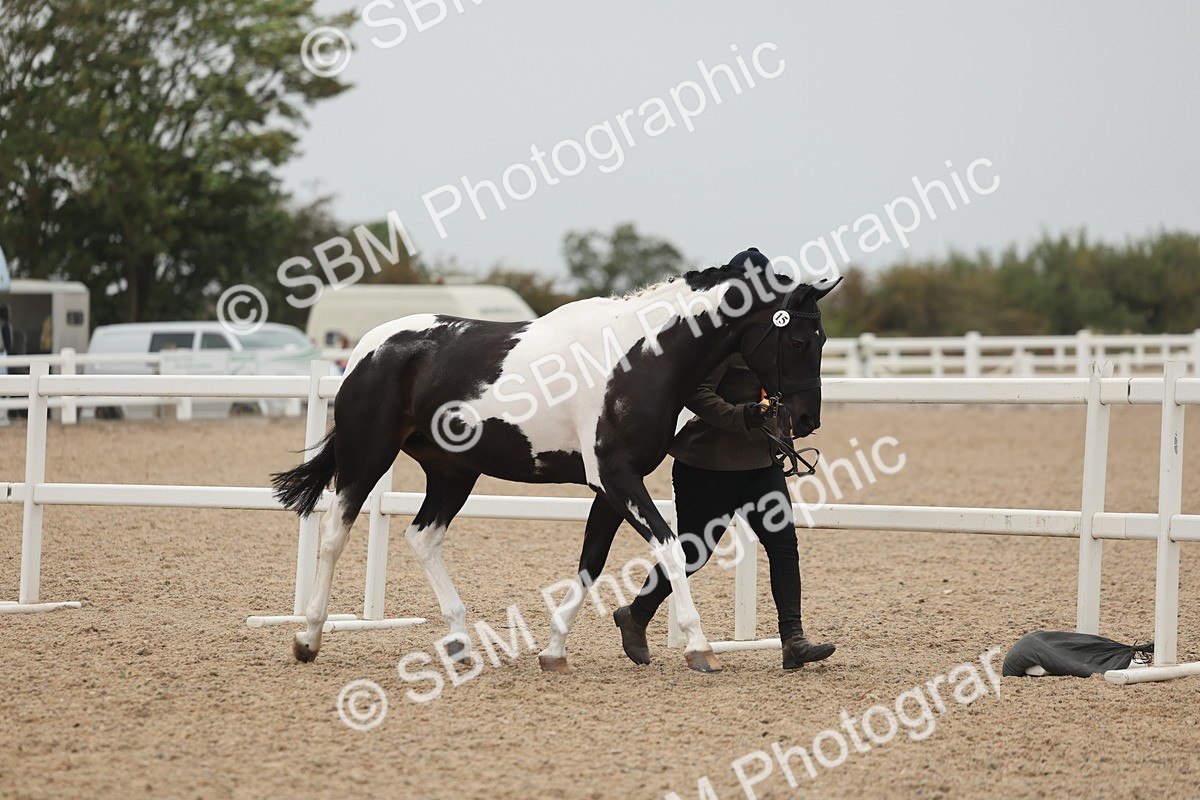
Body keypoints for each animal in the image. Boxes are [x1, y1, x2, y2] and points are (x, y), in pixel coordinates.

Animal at [272, 248, 839, 673]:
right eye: (796, 339)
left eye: (822, 338)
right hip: (368, 455)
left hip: (454, 472)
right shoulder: (615, 477)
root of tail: (369, 348)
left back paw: (459, 642)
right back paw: (309, 638)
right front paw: (699, 647)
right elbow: (671, 549)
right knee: (335, 533)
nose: (806, 418)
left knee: (423, 537)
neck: (637, 358)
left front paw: (554, 650)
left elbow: (591, 563)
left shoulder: (611, 486)